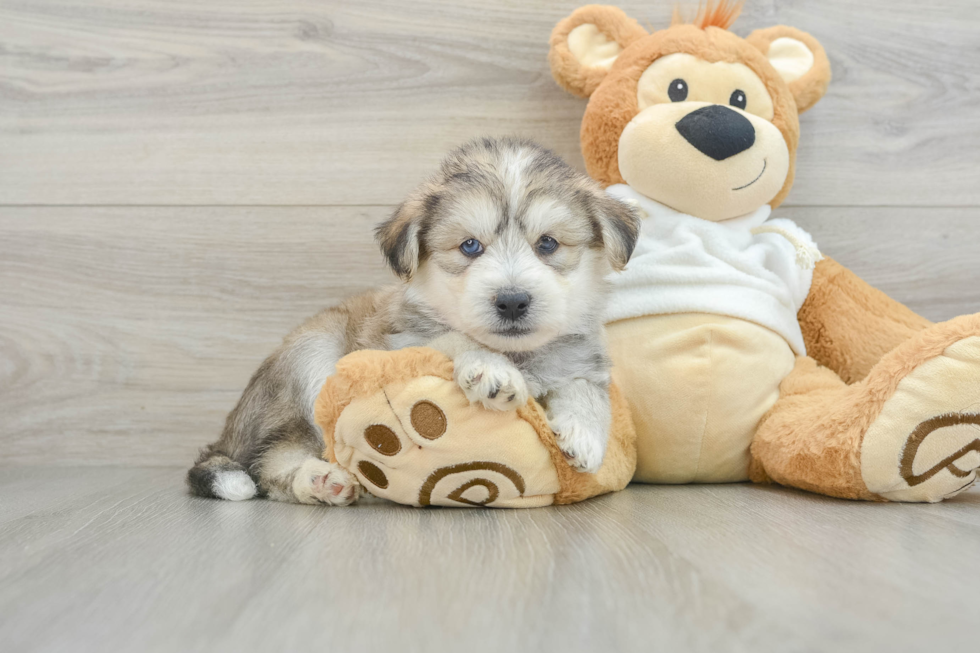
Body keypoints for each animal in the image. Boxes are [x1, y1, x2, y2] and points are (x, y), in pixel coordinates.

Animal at [187, 138, 640, 504]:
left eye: (547, 243)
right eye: (469, 246)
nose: (512, 302)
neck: (519, 353)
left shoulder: (582, 358)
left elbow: (586, 387)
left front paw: (584, 433)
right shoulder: (401, 345)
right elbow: (454, 339)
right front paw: (491, 370)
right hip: (310, 358)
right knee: (272, 461)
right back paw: (319, 480)